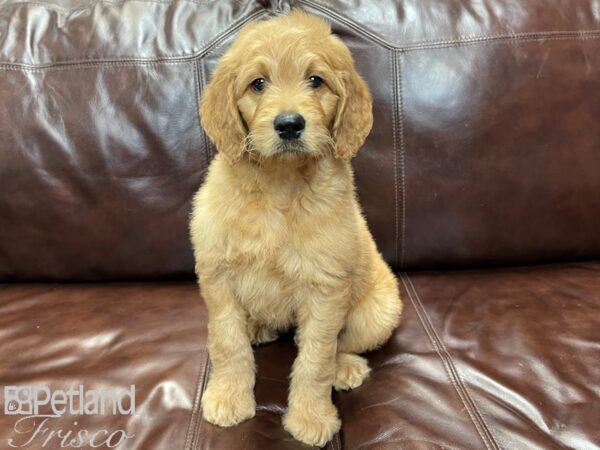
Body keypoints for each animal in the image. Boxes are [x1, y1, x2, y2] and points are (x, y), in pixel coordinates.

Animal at [190, 10, 400, 446]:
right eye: (258, 83)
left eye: (316, 80)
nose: (289, 125)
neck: (278, 185)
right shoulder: (217, 276)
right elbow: (227, 342)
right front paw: (228, 396)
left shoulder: (325, 289)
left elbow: (315, 358)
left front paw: (310, 417)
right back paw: (257, 326)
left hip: (378, 312)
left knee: (341, 345)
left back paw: (345, 367)